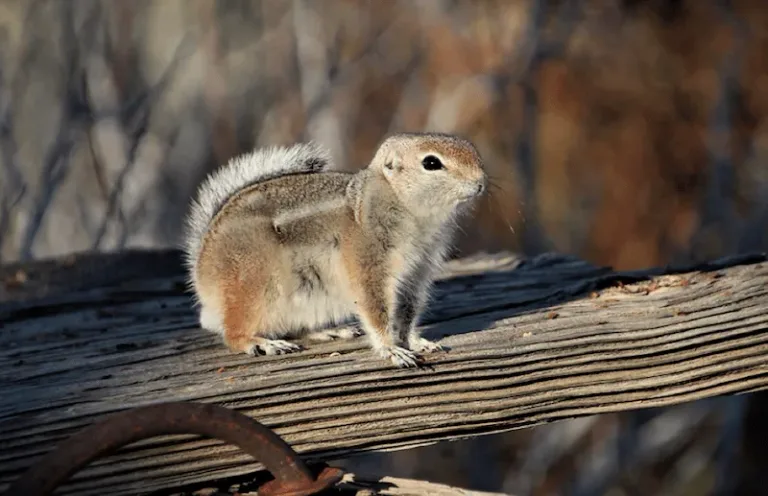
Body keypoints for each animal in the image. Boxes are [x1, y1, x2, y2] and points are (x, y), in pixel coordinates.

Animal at [183, 132, 487, 368]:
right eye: (431, 163)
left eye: (472, 149)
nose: (480, 182)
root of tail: (202, 271)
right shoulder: (368, 264)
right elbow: (376, 309)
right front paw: (391, 350)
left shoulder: (418, 272)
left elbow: (407, 312)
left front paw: (417, 341)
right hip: (254, 283)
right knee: (233, 333)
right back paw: (261, 343)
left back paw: (329, 332)